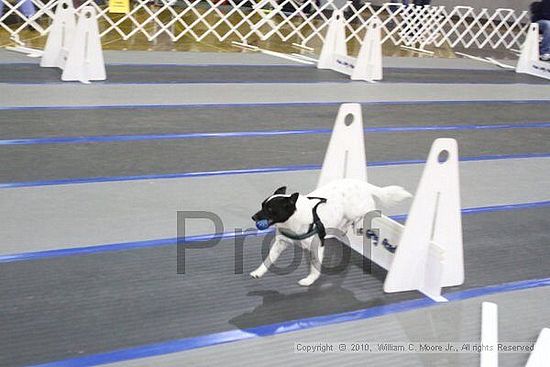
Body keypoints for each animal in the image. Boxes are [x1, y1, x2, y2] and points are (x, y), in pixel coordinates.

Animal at [252, 178, 412, 288]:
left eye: (270, 209)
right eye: (262, 205)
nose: (253, 217)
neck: (293, 218)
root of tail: (361, 184)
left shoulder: (317, 246)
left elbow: (315, 267)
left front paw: (309, 280)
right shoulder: (281, 243)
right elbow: (268, 259)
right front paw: (258, 272)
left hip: (356, 210)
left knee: (369, 210)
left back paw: (357, 223)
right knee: (349, 221)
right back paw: (345, 228)